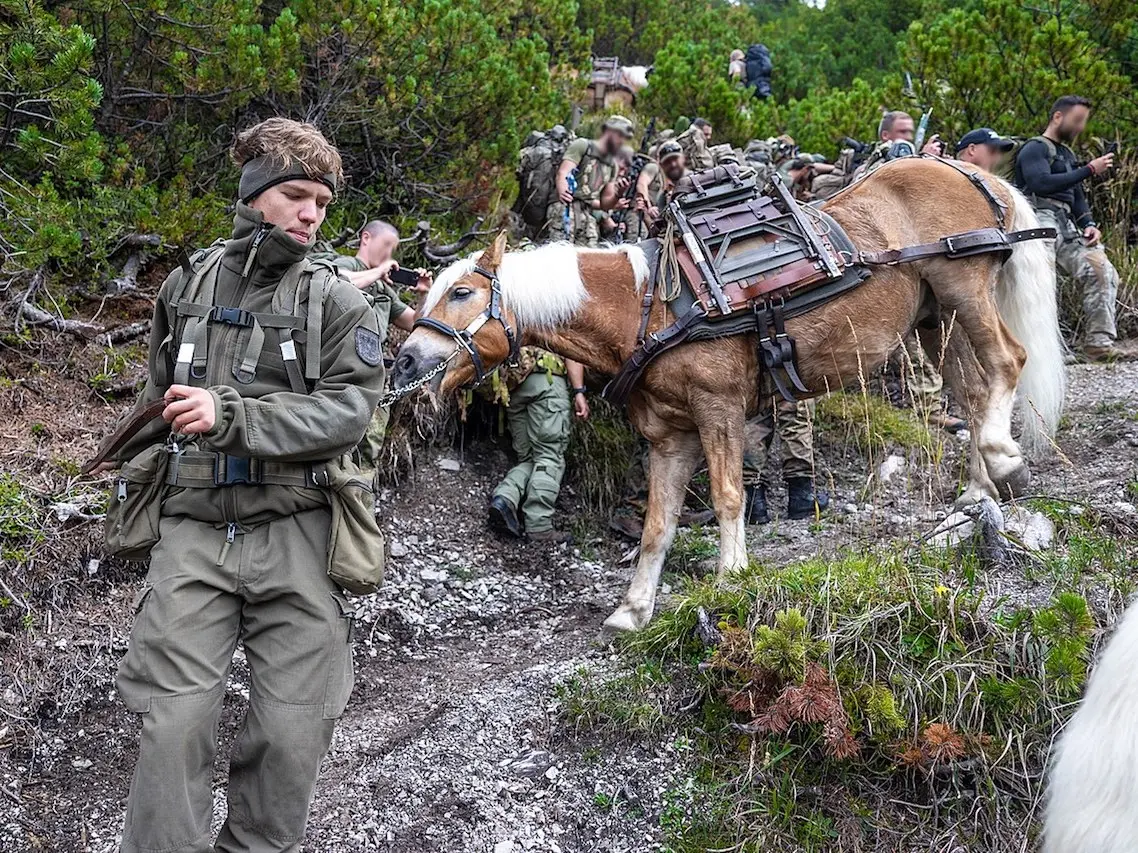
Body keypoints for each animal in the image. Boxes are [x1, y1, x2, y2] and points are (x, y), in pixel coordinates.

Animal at [393, 156, 1065, 632]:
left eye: (462, 294)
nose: (407, 360)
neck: (650, 306)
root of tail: (972, 172)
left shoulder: (719, 413)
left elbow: (727, 497)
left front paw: (731, 576)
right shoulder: (670, 437)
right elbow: (657, 525)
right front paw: (633, 609)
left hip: (962, 287)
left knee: (1007, 363)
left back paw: (1004, 459)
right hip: (932, 320)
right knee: (973, 394)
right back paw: (977, 493)